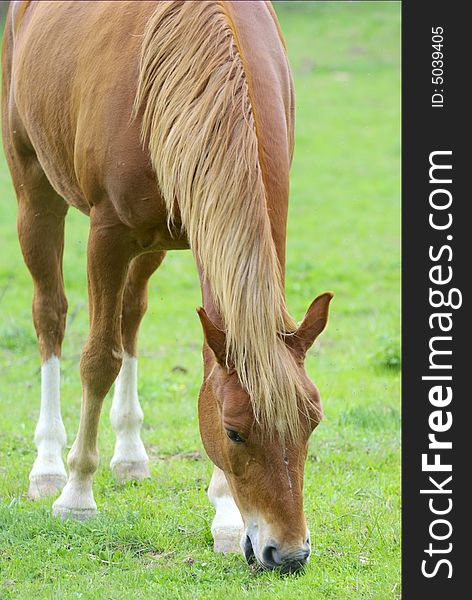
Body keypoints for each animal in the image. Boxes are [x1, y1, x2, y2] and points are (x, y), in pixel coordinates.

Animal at [1, 0, 332, 572]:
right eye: (234, 431)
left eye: (311, 424)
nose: (287, 554)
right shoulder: (108, 235)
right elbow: (98, 360)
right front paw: (77, 494)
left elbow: (200, 361)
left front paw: (226, 519)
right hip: (33, 187)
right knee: (51, 316)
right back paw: (47, 466)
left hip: (155, 242)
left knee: (131, 315)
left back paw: (131, 455)